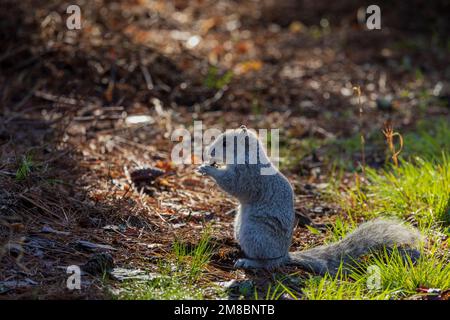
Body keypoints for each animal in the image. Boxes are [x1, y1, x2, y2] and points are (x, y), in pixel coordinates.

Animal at [199, 126, 424, 274]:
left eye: (226, 142)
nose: (208, 152)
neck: (248, 156)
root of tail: (285, 255)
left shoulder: (249, 174)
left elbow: (235, 185)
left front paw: (209, 169)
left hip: (255, 232)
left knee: (269, 263)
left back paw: (249, 262)